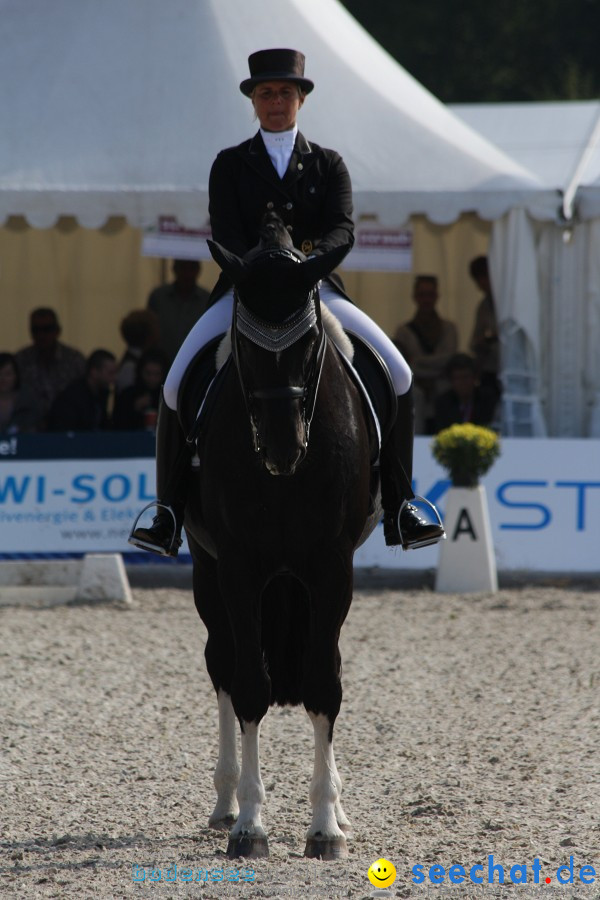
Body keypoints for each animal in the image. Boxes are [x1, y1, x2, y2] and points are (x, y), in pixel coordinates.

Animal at [180, 214, 382, 860]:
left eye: (310, 342)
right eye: (245, 347)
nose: (282, 448)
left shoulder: (331, 568)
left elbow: (324, 685)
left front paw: (324, 827)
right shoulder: (238, 567)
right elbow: (249, 687)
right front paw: (250, 825)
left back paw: (338, 810)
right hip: (208, 575)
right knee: (222, 664)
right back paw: (225, 804)